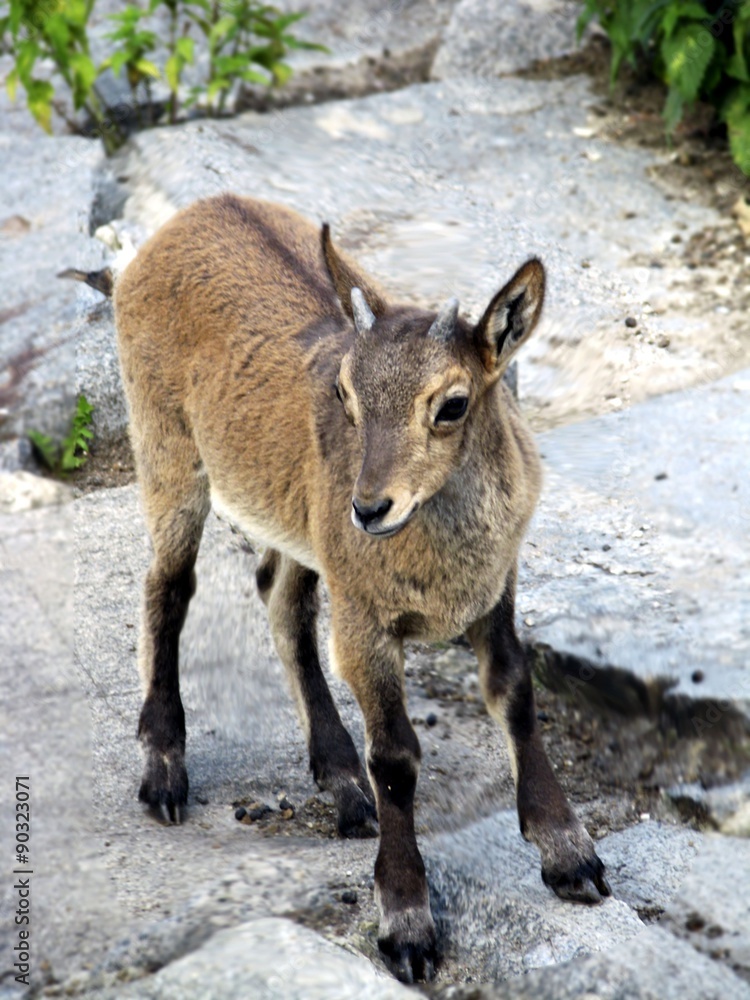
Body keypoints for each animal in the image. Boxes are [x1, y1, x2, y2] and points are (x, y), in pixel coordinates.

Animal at [113, 193, 610, 983]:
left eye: (452, 403)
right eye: (344, 391)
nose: (370, 507)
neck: (440, 569)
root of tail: (185, 219)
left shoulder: (496, 588)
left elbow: (515, 694)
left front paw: (571, 855)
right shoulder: (366, 619)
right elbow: (398, 756)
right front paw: (407, 922)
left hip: (302, 526)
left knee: (279, 593)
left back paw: (340, 778)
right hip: (167, 449)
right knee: (169, 585)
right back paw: (165, 769)